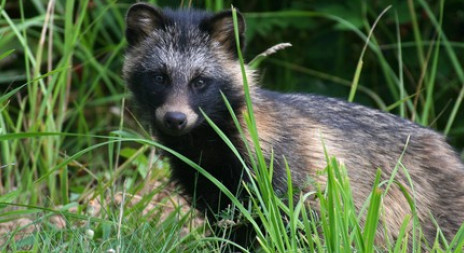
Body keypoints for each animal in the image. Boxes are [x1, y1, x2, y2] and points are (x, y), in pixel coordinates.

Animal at [123, 1, 464, 250]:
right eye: (159, 77)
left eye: (200, 81)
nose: (175, 119)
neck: (205, 143)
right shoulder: (211, 186)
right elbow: (232, 233)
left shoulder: (290, 174)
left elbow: (302, 229)